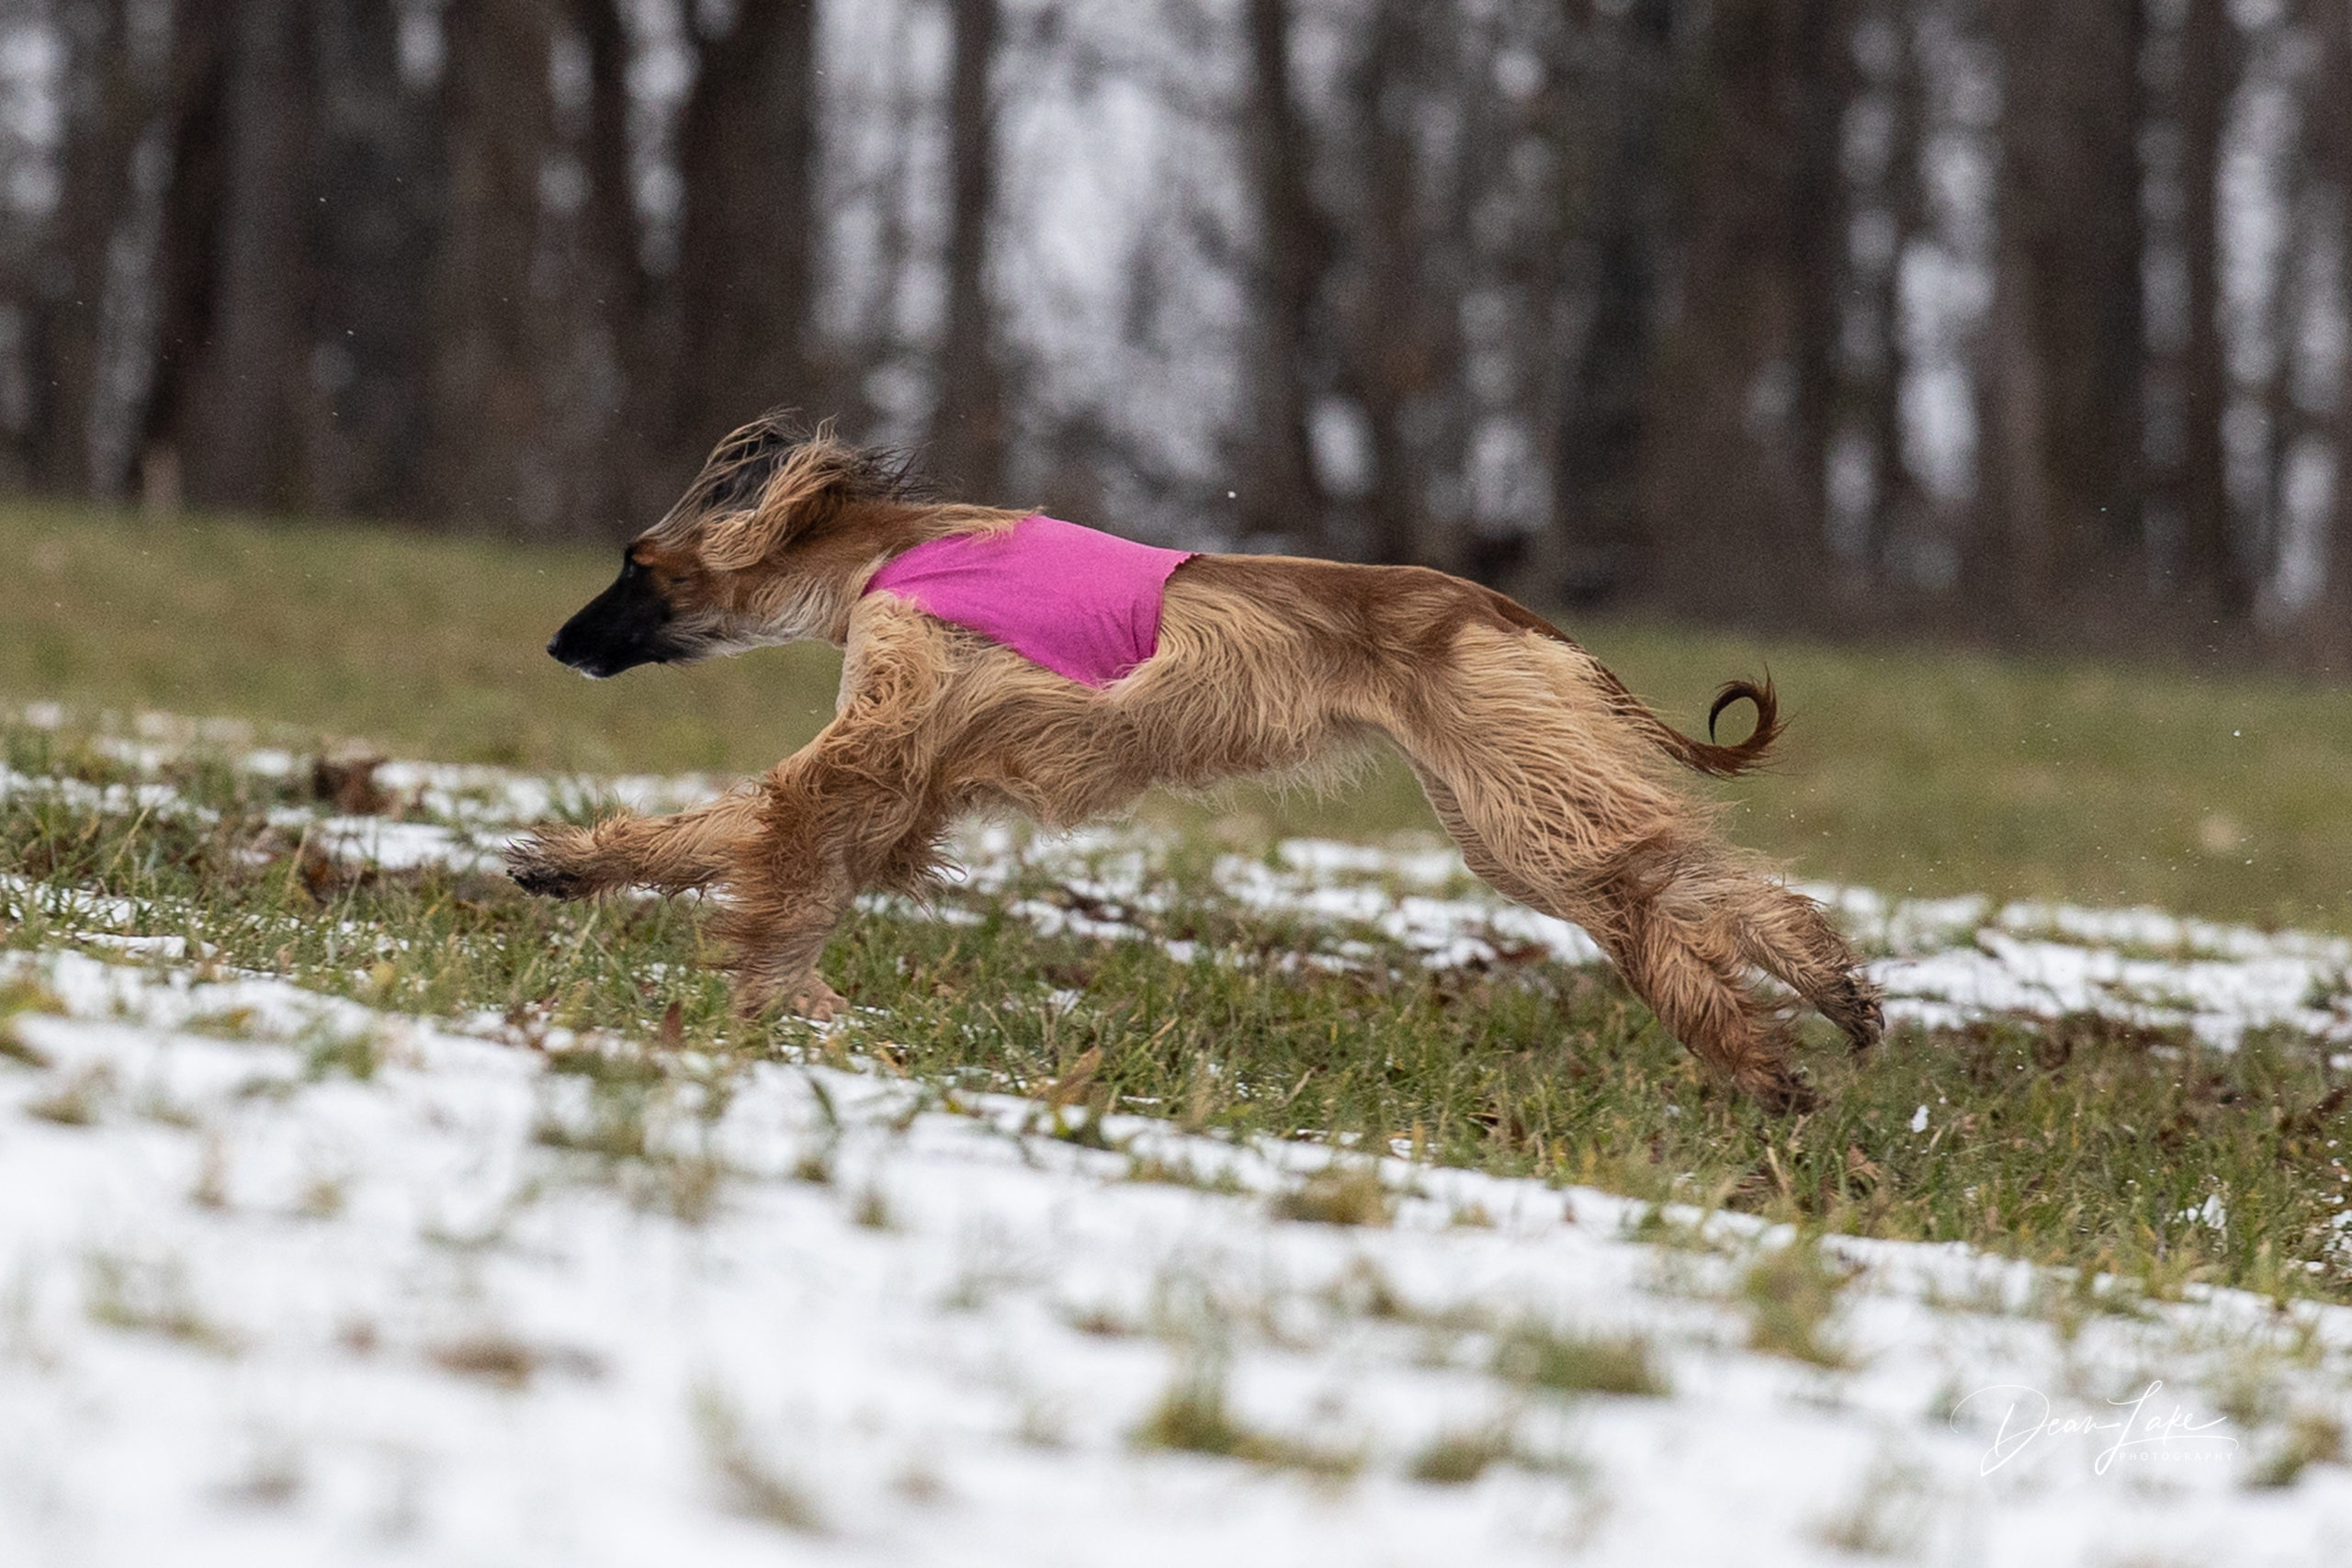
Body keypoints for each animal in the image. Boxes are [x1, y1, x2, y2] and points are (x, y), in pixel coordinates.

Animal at [510, 411, 1871, 1109]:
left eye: (633, 563)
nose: (557, 643)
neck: (877, 551)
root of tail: (1511, 610)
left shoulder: (890, 726)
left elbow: (782, 821)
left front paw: (762, 991)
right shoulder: (914, 777)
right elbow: (779, 839)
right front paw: (570, 867)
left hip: (1511, 777)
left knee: (1649, 880)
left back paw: (1766, 1047)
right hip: (1498, 788)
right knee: (1676, 875)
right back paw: (1828, 1001)